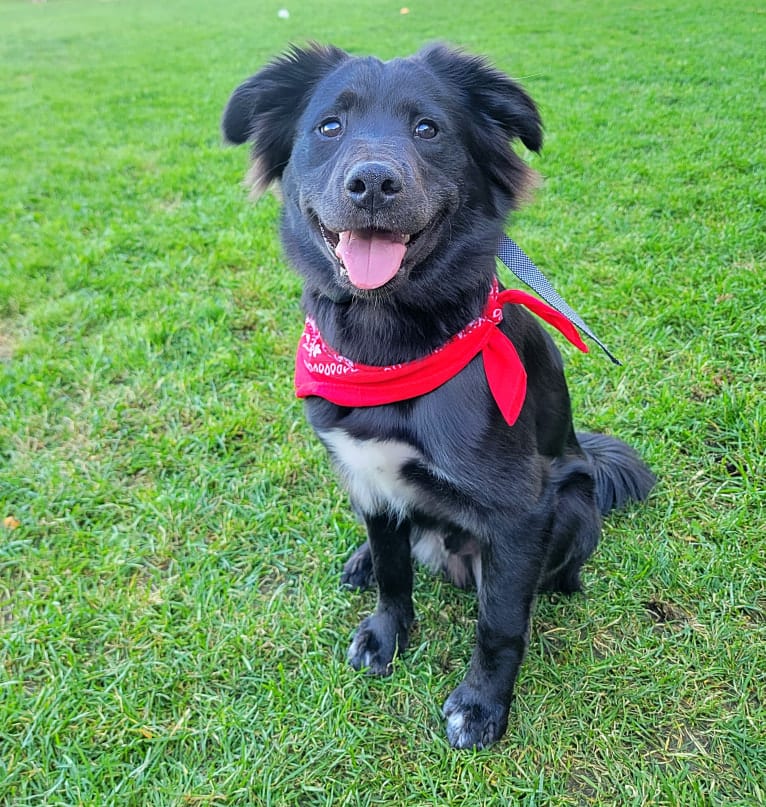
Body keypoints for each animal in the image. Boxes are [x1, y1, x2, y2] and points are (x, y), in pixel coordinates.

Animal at [222, 44, 656, 752]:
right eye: (329, 126)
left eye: (428, 129)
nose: (373, 183)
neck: (389, 352)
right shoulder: (368, 477)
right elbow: (395, 572)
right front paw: (386, 634)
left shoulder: (521, 511)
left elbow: (500, 623)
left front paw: (480, 706)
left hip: (572, 504)